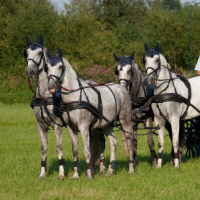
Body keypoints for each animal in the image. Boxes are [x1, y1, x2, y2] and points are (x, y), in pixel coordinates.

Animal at [45, 48, 134, 180]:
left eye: (60, 66)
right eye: (46, 67)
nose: (51, 86)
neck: (73, 98)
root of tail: (122, 88)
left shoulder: (84, 127)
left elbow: (86, 151)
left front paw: (89, 176)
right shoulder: (71, 128)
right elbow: (75, 151)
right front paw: (76, 175)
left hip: (125, 121)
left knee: (129, 141)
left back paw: (131, 168)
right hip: (107, 124)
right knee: (113, 143)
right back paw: (110, 171)